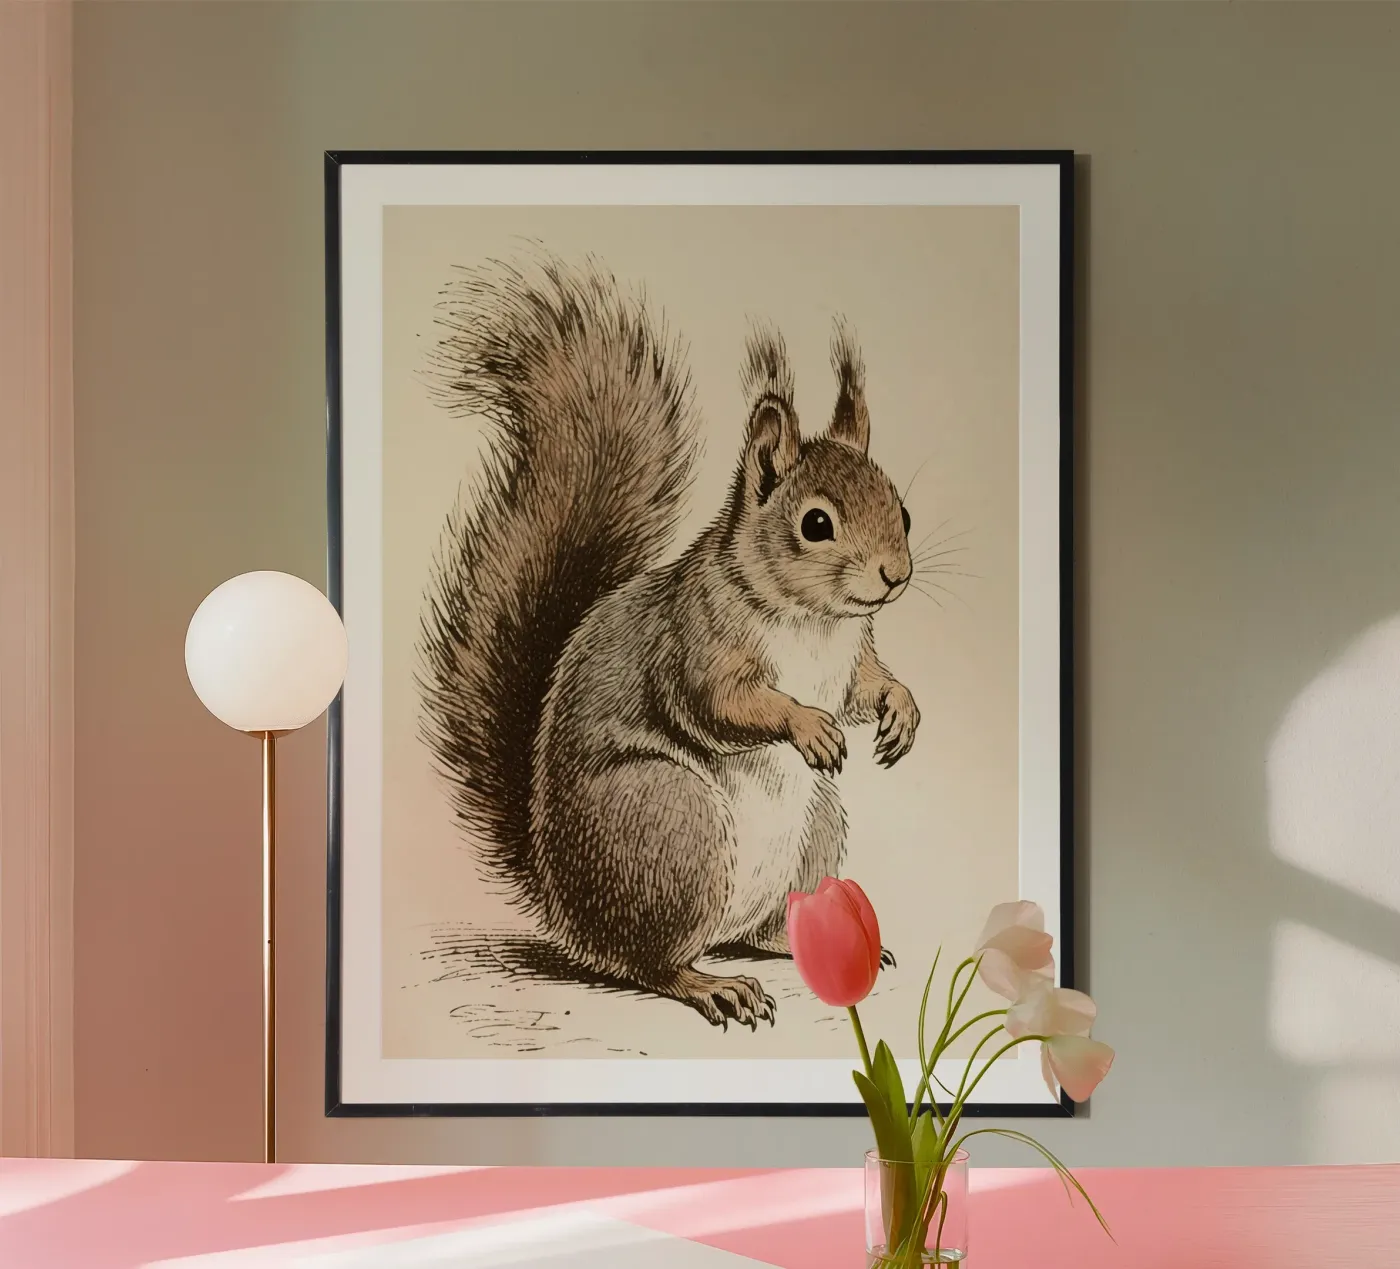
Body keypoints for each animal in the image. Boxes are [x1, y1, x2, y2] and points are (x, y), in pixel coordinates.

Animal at [419, 252, 919, 1030]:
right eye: (815, 524)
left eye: (903, 510)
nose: (896, 575)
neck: (814, 620)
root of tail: (573, 917)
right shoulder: (695, 642)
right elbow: (720, 704)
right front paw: (807, 724)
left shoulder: (851, 657)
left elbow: (869, 686)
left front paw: (901, 711)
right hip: (672, 825)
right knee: (651, 963)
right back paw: (712, 984)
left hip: (816, 827)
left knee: (756, 929)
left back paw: (800, 941)